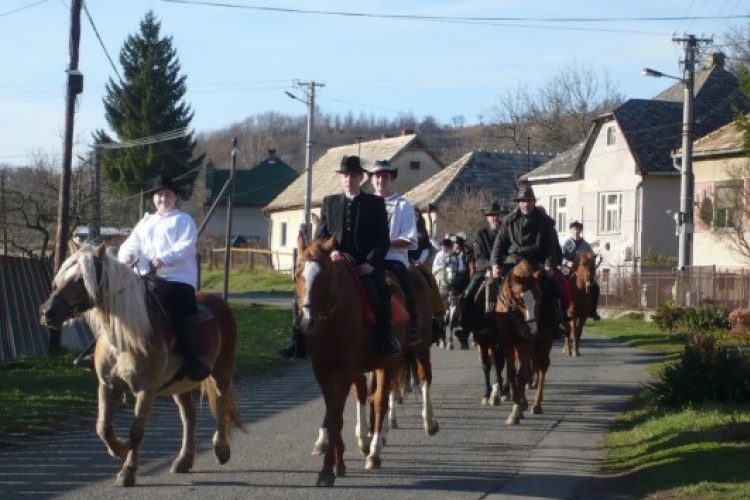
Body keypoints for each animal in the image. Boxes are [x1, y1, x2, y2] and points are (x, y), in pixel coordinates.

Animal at [39, 244, 244, 486]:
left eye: (81, 279)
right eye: (61, 278)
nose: (47, 312)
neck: (124, 338)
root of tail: (219, 302)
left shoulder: (146, 389)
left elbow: (136, 431)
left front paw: (127, 471)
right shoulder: (108, 385)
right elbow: (103, 427)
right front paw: (120, 450)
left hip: (222, 371)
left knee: (221, 404)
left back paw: (221, 450)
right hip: (180, 385)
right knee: (189, 417)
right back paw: (184, 460)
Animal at [296, 235, 408, 488]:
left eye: (324, 276)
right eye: (297, 274)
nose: (307, 322)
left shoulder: (344, 369)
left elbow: (336, 416)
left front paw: (327, 470)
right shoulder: (322, 370)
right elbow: (332, 413)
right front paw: (338, 463)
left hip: (388, 363)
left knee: (380, 401)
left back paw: (374, 452)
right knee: (365, 394)